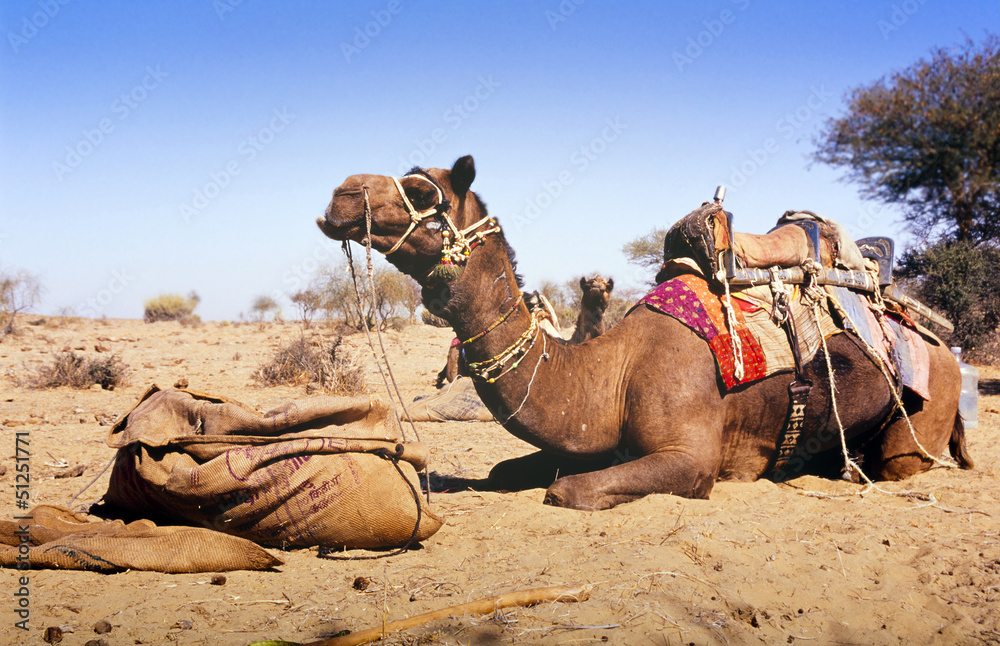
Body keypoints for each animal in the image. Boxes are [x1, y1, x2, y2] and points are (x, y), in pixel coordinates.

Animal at [317, 155, 973, 511]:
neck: (612, 369)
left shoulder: (692, 458)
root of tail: (943, 345)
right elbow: (510, 471)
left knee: (900, 461)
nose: (341, 193)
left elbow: (566, 491)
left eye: (421, 191)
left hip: (924, 416)